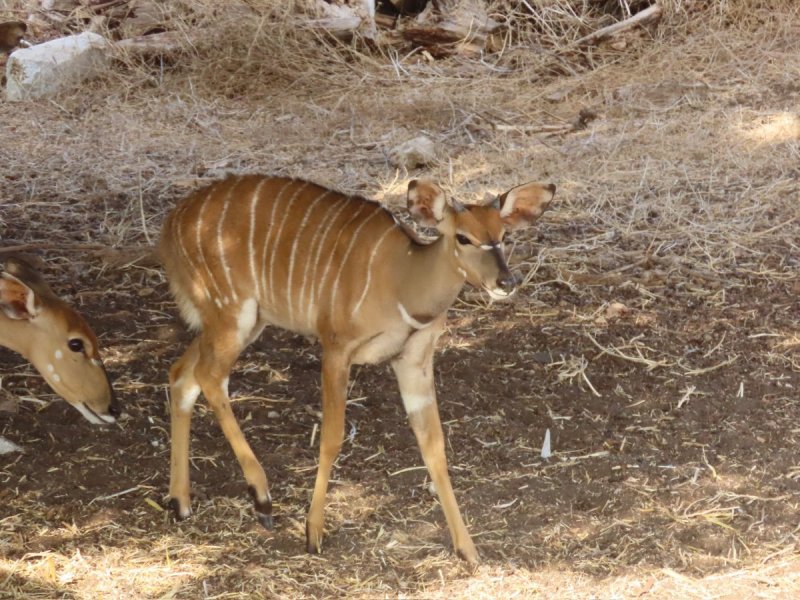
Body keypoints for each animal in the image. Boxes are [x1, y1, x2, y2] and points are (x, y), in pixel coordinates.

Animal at [159, 173, 552, 564]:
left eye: (503, 235)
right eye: (463, 237)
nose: (506, 282)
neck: (403, 281)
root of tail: (173, 221)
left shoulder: (414, 361)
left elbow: (434, 445)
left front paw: (468, 549)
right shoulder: (336, 349)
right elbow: (331, 438)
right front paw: (313, 533)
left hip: (242, 321)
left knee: (182, 375)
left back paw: (180, 502)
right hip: (232, 313)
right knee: (209, 377)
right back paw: (261, 496)